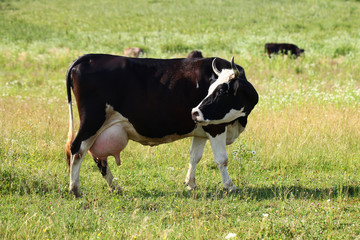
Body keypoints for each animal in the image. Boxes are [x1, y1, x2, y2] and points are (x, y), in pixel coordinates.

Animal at [65, 54, 258, 197]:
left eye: (222, 90)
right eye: (212, 89)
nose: (195, 112)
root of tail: (88, 57)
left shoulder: (201, 129)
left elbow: (194, 156)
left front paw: (191, 183)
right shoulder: (215, 127)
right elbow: (221, 159)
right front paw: (229, 186)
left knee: (98, 157)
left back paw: (115, 187)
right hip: (92, 121)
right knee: (77, 149)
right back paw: (75, 189)